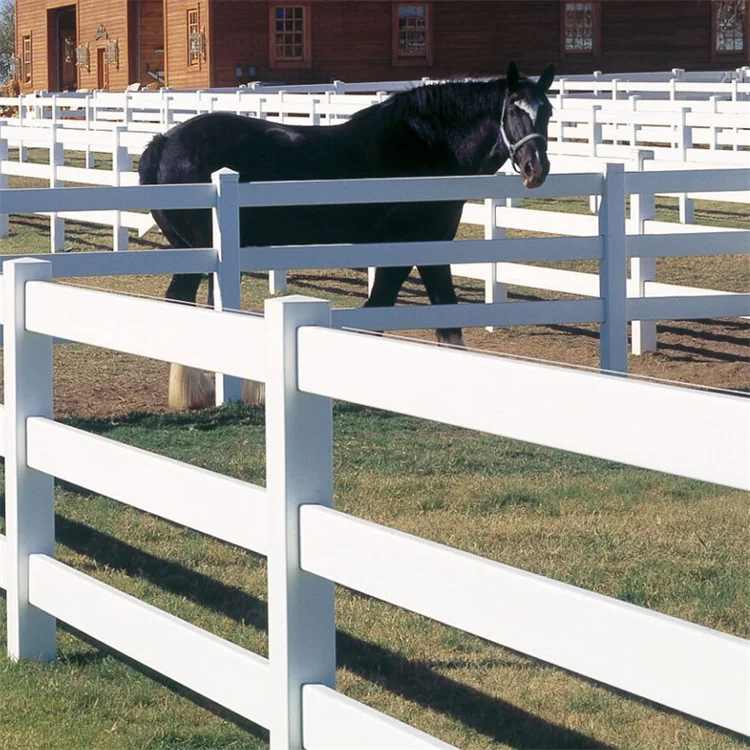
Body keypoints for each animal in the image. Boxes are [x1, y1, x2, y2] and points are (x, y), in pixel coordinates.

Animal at [138, 61, 555, 409]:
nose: (536, 168)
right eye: (514, 109)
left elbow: (442, 309)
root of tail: (164, 143)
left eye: (547, 111)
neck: (425, 148)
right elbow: (381, 307)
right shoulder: (402, 248)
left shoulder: (430, 246)